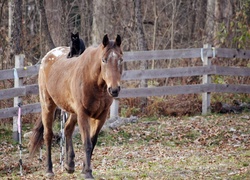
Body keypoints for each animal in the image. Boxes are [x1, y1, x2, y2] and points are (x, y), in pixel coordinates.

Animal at [29, 34, 123, 179]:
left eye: (120, 60)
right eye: (104, 60)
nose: (114, 90)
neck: (94, 81)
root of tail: (47, 57)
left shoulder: (100, 116)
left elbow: (92, 142)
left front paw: (84, 169)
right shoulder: (83, 115)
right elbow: (87, 143)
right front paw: (88, 172)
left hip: (72, 112)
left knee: (67, 129)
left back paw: (69, 165)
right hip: (48, 106)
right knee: (48, 135)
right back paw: (49, 170)